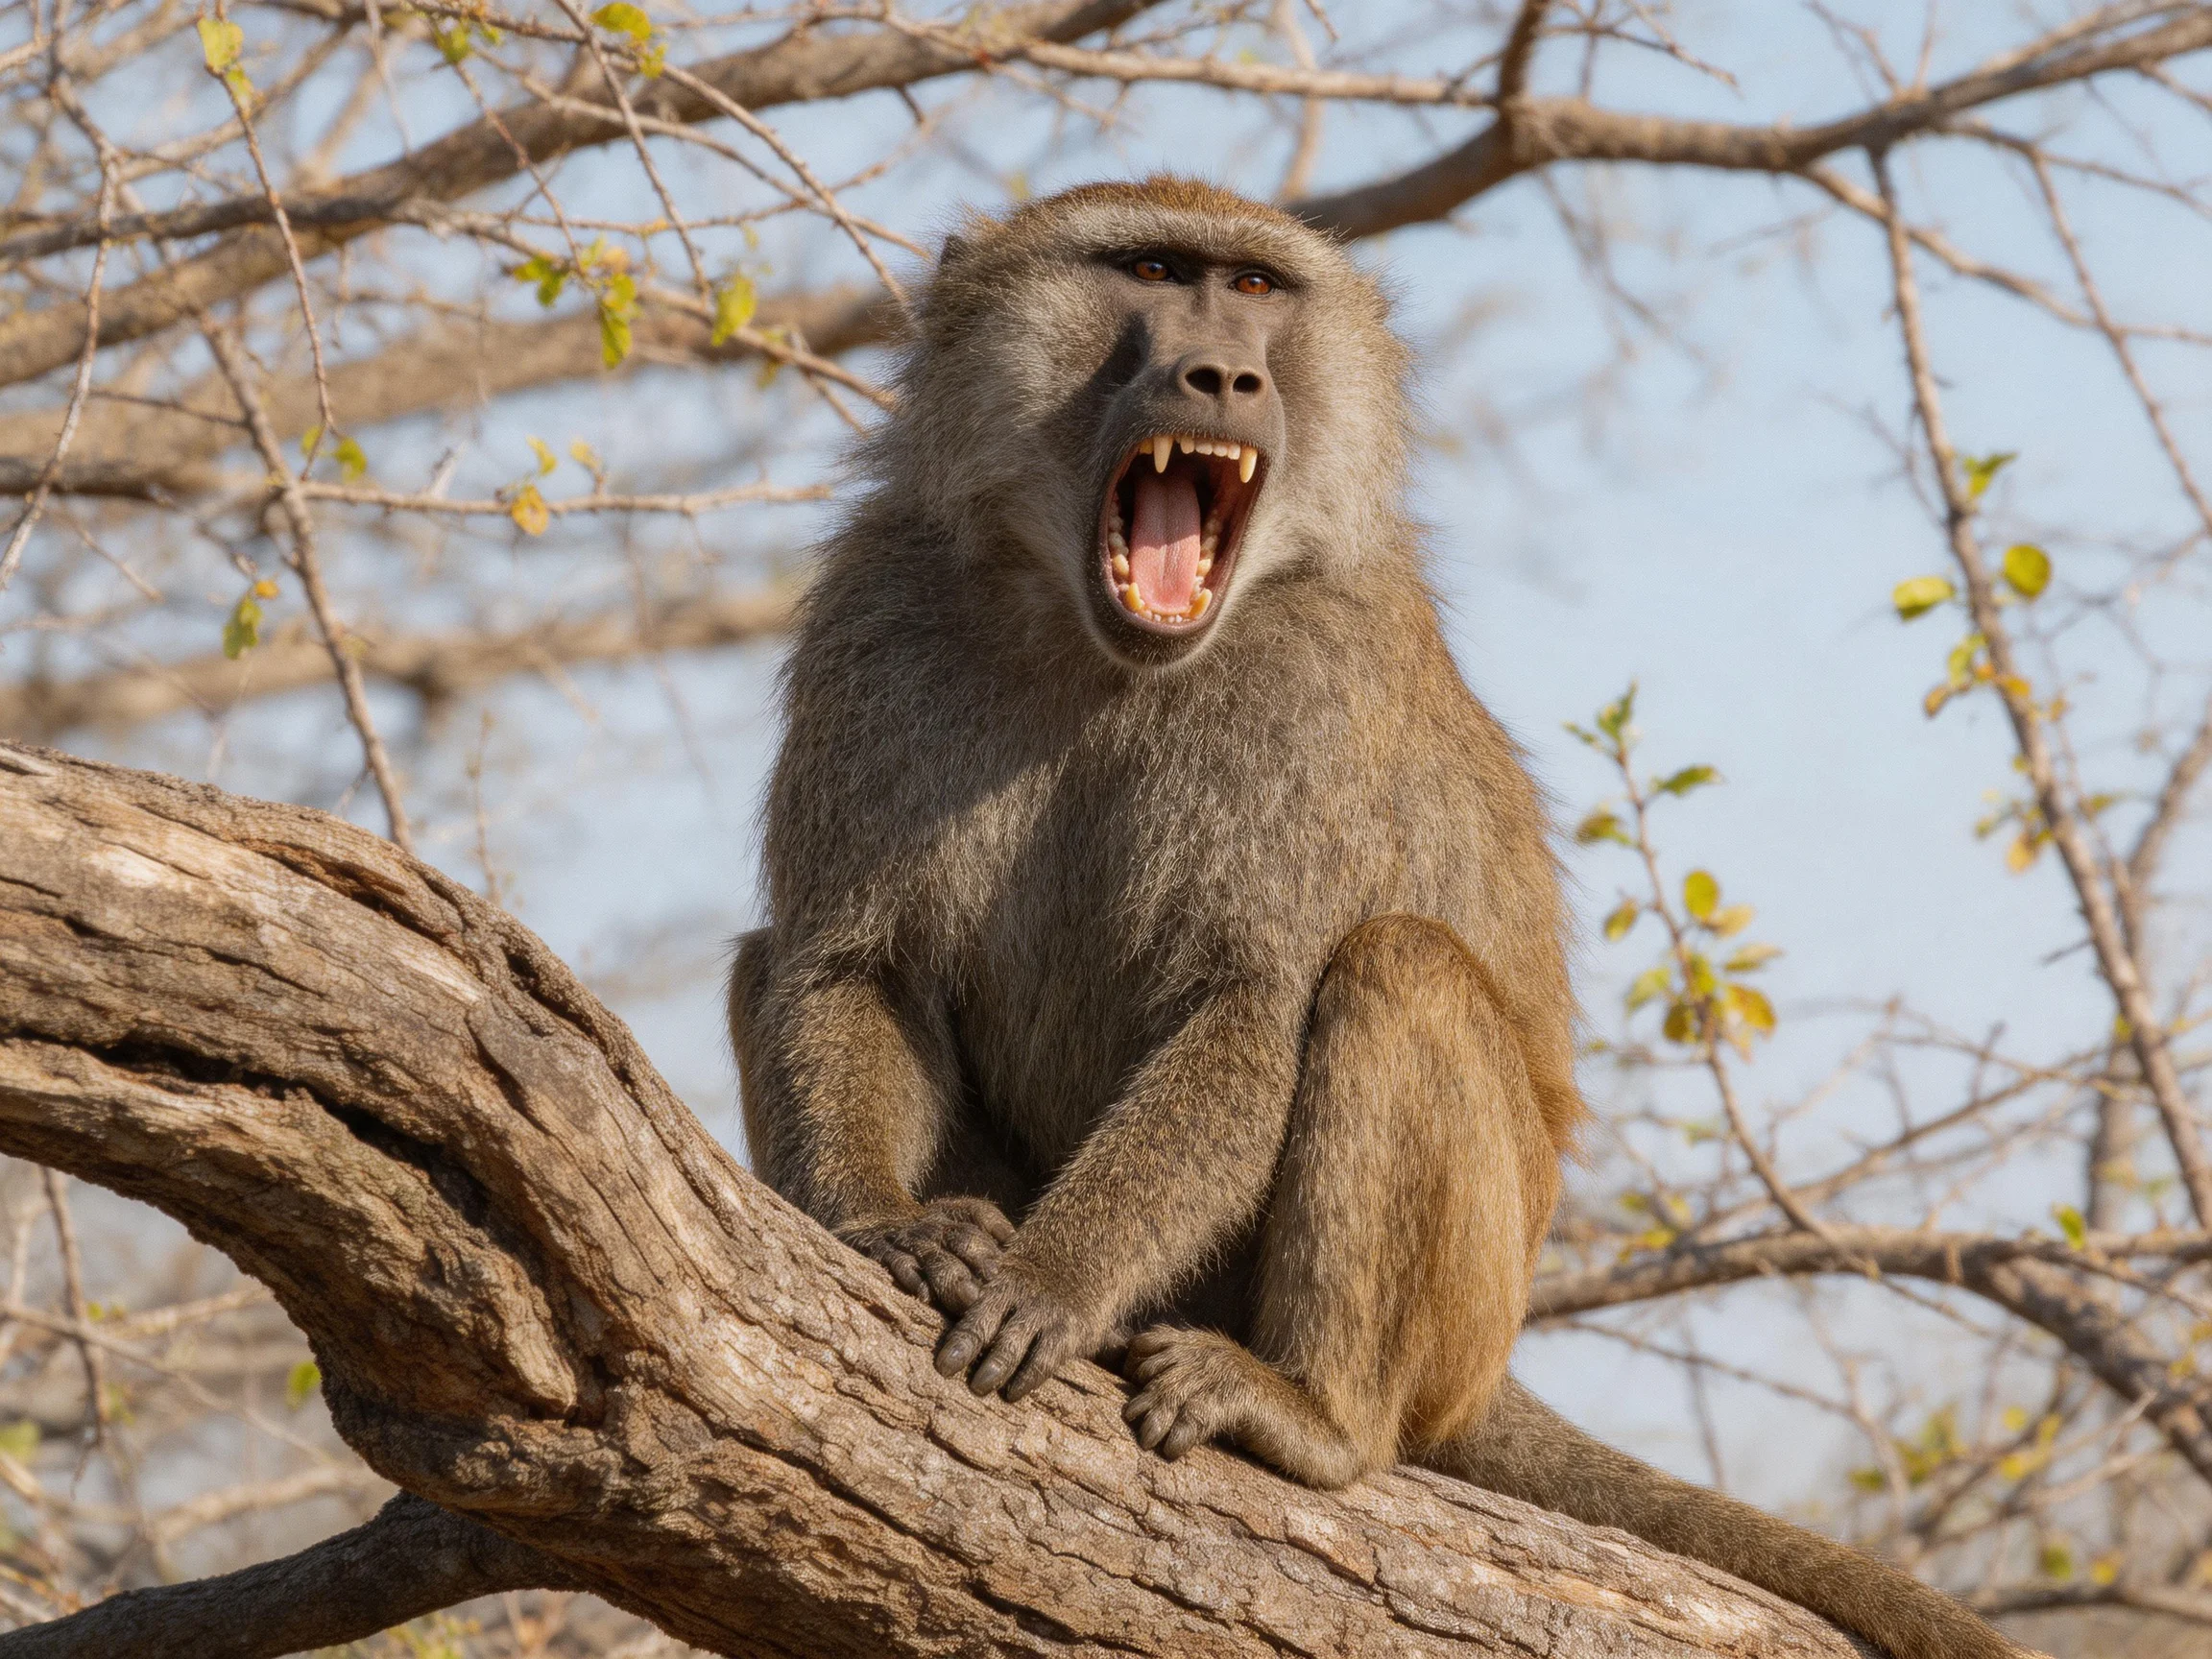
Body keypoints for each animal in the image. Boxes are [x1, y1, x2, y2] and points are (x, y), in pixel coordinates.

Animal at [728, 177, 2026, 1659]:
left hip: (1464, 1302)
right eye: (1152, 270)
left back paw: (1317, 1420)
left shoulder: (1311, 694)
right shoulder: (878, 612)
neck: (1090, 641)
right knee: (764, 960)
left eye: (1254, 289)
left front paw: (1050, 1280)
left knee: (1395, 970)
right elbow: (849, 964)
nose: (1222, 375)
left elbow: (1252, 1008)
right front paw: (890, 1223)